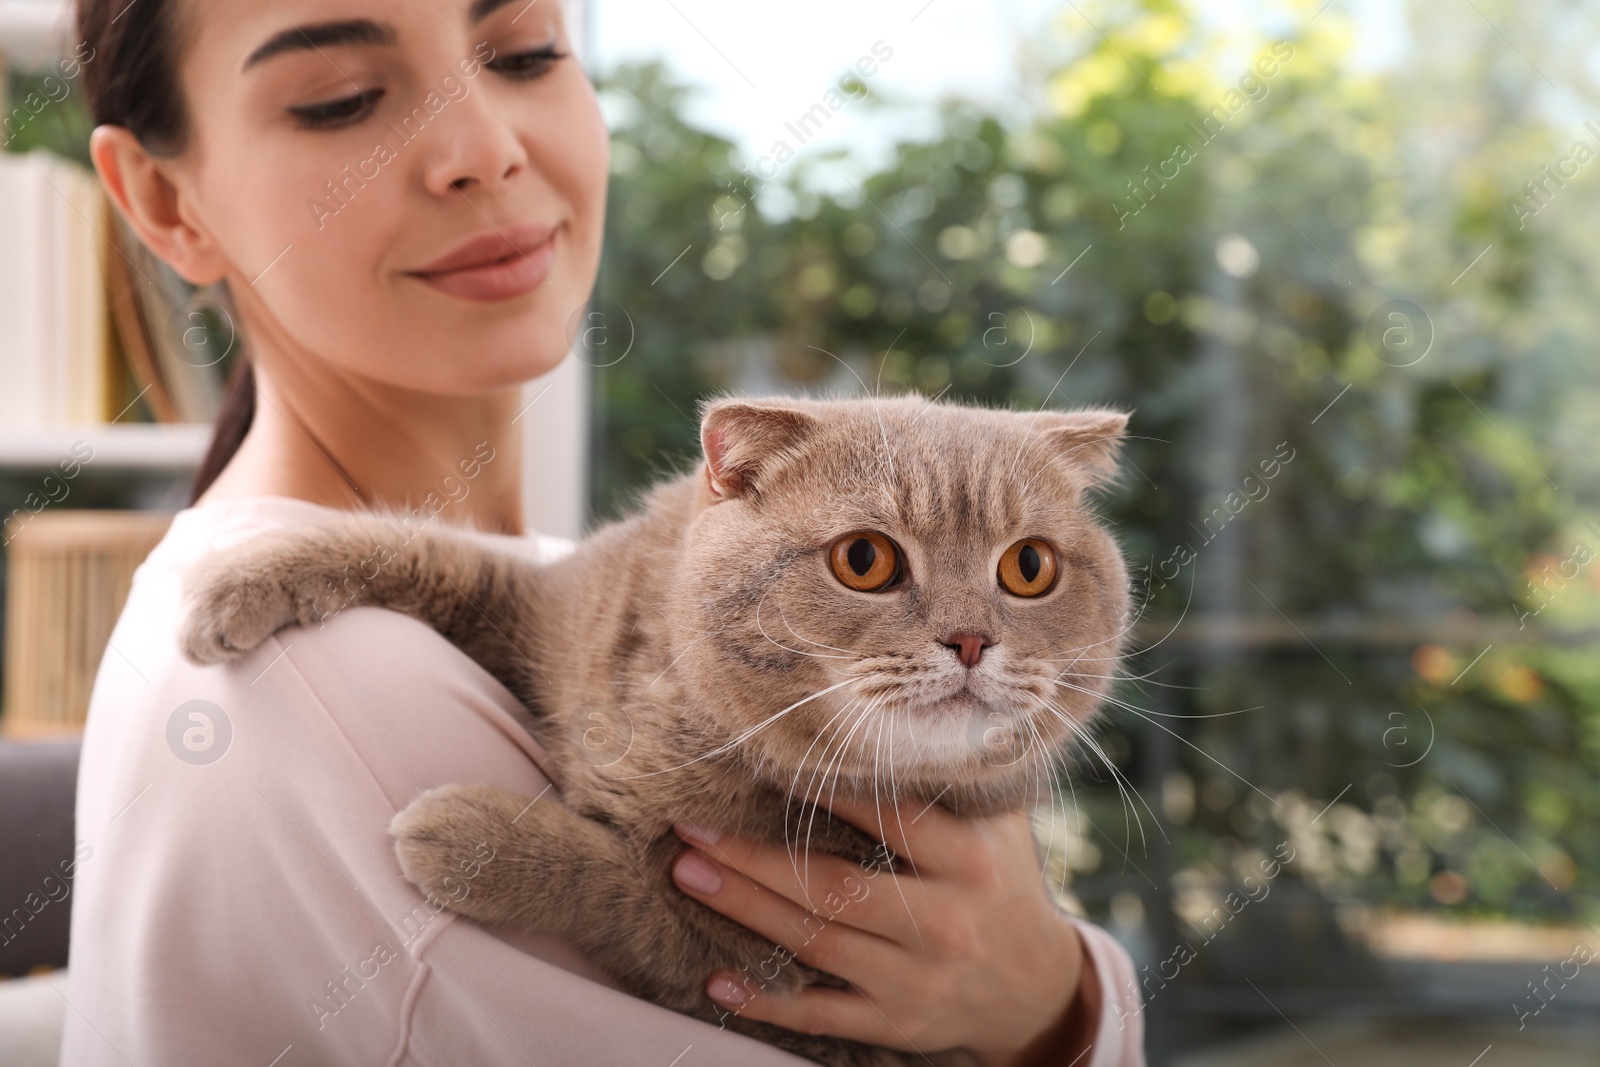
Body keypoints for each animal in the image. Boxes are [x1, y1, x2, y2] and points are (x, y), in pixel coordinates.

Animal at [181, 395, 1132, 1067]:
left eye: (1029, 566)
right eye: (865, 560)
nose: (971, 638)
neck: (675, 724)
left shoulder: (781, 980)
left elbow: (627, 892)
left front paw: (469, 840)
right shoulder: (539, 610)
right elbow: (432, 554)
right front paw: (239, 582)